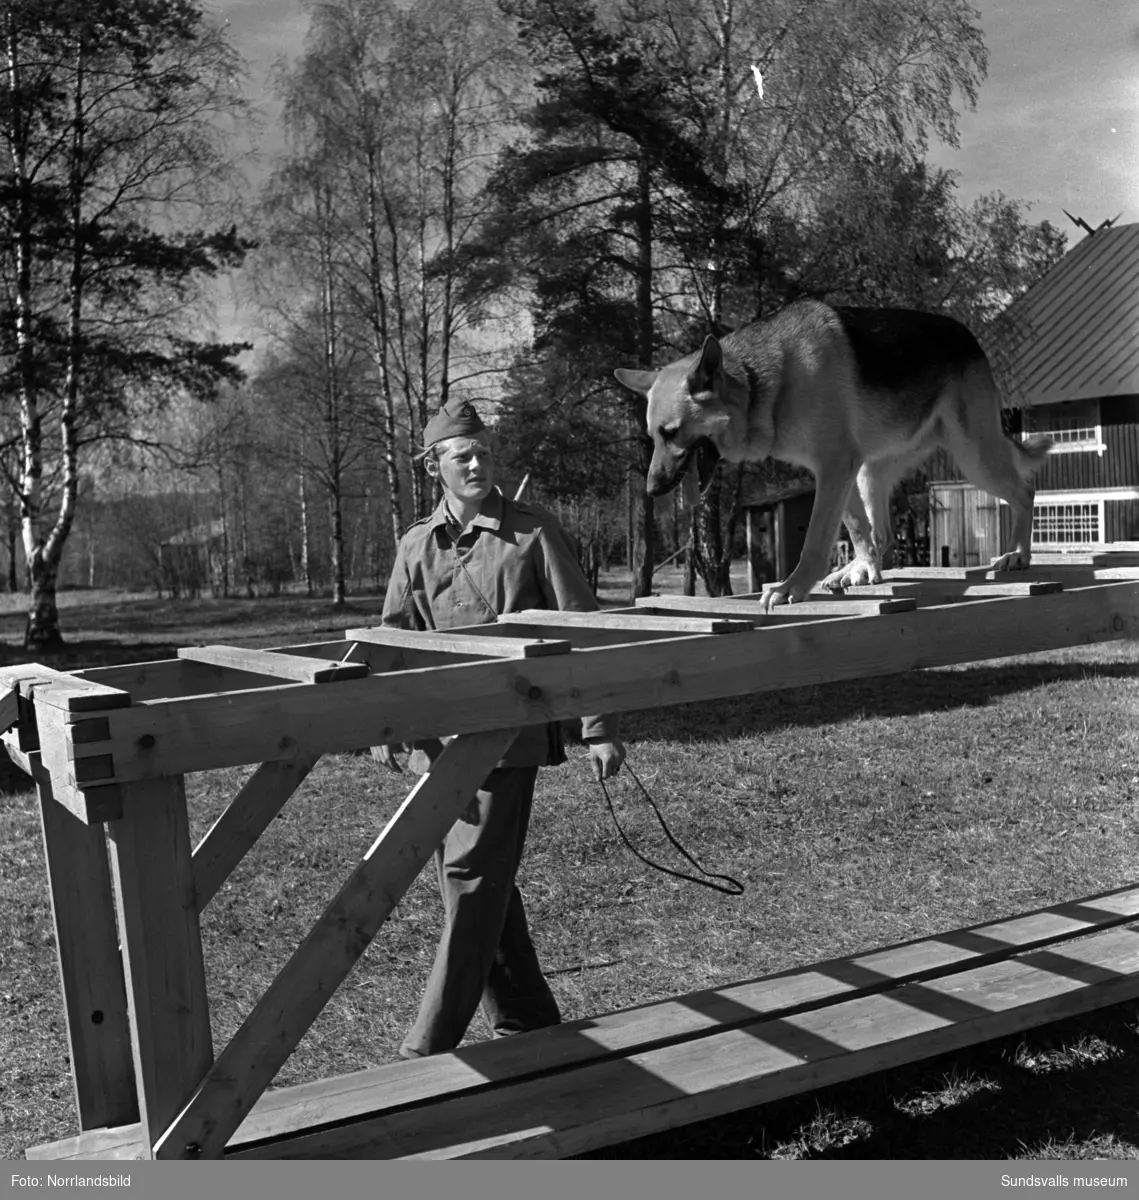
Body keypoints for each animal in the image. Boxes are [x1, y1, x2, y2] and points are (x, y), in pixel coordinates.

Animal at [619, 304, 1051, 609]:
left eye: (670, 433)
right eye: (652, 436)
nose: (652, 490)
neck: (762, 383)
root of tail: (967, 335)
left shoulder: (834, 467)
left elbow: (814, 539)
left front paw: (791, 586)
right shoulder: (836, 471)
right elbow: (856, 527)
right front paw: (853, 569)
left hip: (975, 456)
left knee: (1024, 490)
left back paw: (1018, 555)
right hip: (871, 473)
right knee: (883, 534)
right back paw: (861, 570)